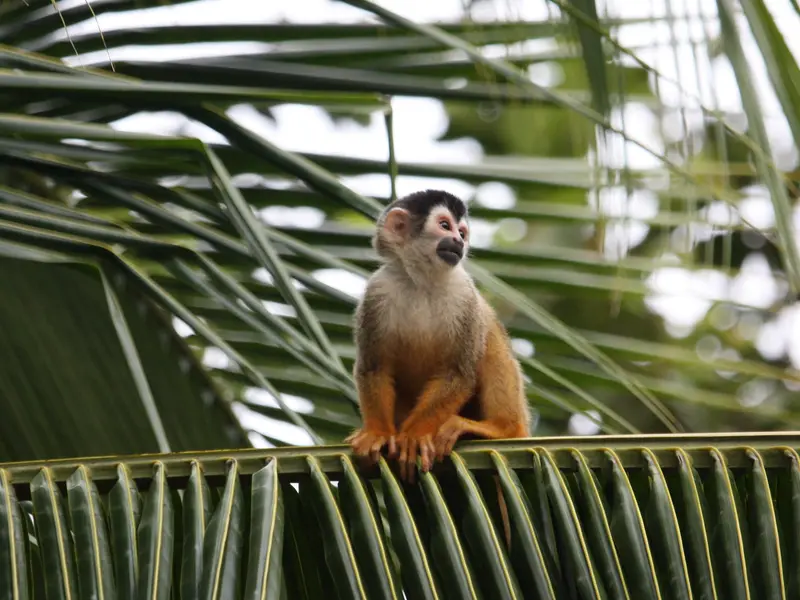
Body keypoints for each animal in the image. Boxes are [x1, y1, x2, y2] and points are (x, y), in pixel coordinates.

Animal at [346, 189, 531, 483]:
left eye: (462, 232)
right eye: (445, 226)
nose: (459, 241)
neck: (423, 281)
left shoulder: (464, 294)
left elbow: (458, 373)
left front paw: (415, 435)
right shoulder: (376, 291)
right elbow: (374, 367)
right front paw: (378, 433)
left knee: (491, 342)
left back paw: (501, 429)